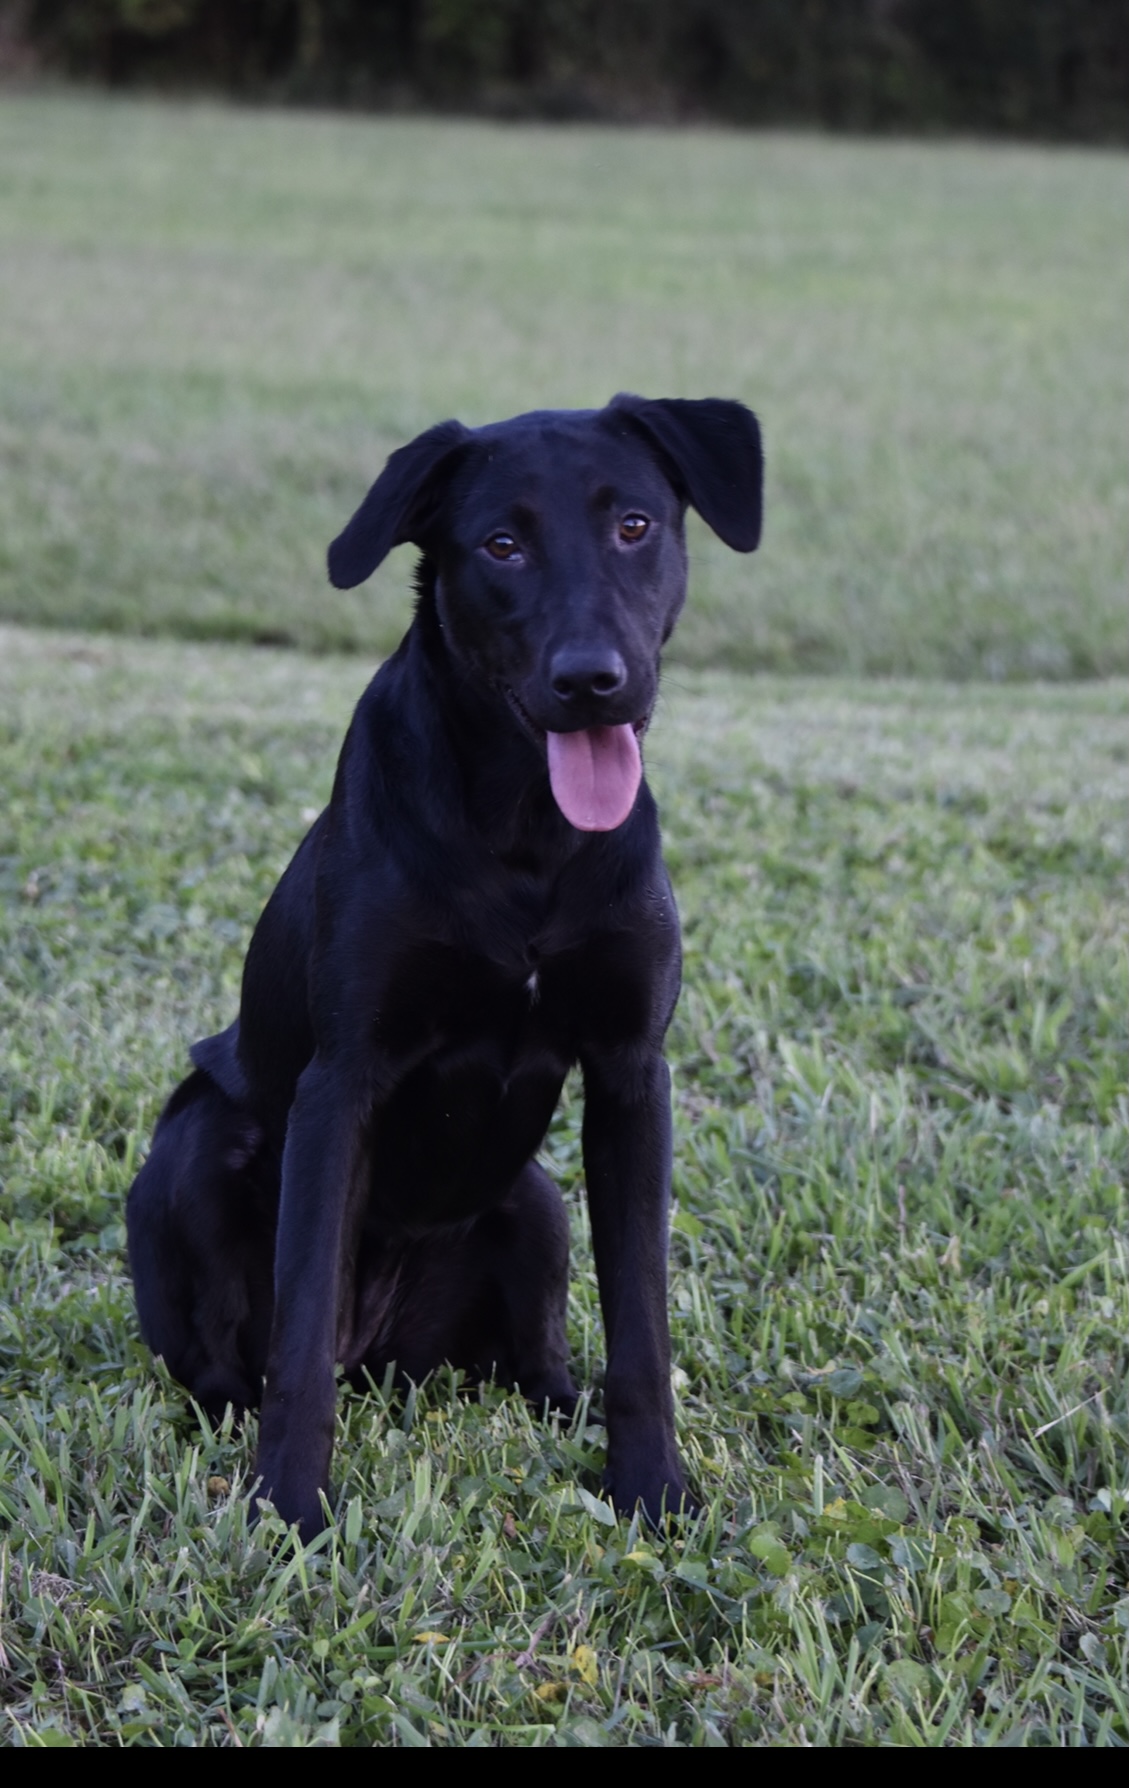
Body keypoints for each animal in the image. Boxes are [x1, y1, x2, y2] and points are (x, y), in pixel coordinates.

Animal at [127, 395, 765, 1537]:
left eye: (634, 526)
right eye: (500, 546)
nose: (590, 682)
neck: (527, 834)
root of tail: (378, 1353)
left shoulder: (631, 1076)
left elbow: (640, 1325)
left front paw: (653, 1492)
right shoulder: (340, 1083)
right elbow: (296, 1340)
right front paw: (291, 1511)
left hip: (539, 1203)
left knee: (536, 1360)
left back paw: (562, 1409)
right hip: (195, 1148)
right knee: (240, 1361)